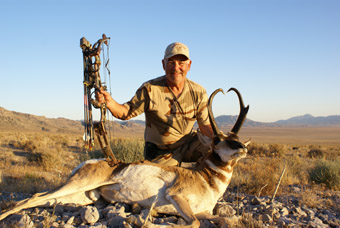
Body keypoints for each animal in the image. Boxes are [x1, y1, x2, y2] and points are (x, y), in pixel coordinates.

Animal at [0, 87, 250, 228]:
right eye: (217, 140)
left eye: (235, 137)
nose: (242, 148)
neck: (205, 179)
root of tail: (93, 162)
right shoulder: (176, 197)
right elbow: (195, 223)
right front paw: (141, 221)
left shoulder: (203, 211)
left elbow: (225, 219)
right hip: (79, 184)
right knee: (32, 198)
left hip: (82, 197)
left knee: (39, 198)